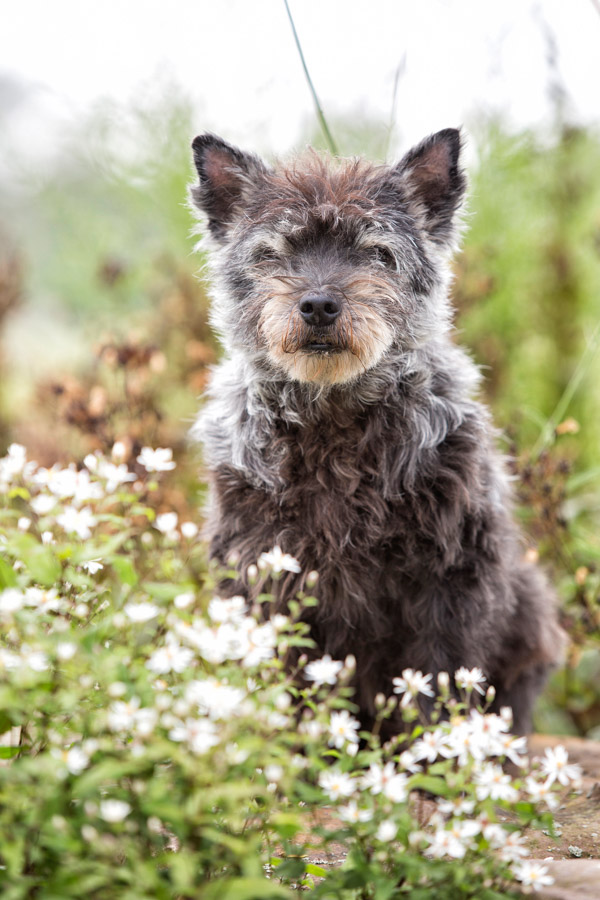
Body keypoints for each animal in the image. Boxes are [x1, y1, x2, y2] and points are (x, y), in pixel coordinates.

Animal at [190, 130, 564, 736]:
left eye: (377, 252)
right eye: (273, 253)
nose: (319, 304)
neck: (334, 422)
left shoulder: (451, 575)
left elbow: (440, 673)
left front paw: (438, 751)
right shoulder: (265, 568)